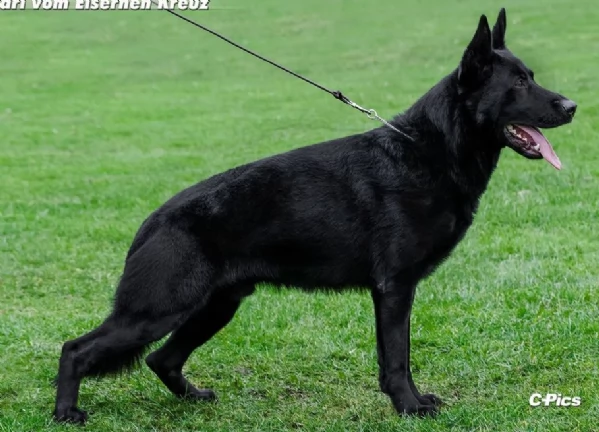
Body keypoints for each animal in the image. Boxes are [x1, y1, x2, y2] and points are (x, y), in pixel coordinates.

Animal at [54, 7, 576, 426]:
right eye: (518, 84)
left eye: (530, 76)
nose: (572, 106)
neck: (429, 150)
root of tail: (152, 221)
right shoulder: (394, 289)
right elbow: (397, 358)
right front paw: (408, 407)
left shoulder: (395, 291)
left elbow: (398, 355)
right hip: (156, 311)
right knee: (76, 349)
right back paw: (65, 414)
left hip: (215, 308)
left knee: (161, 360)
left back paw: (192, 398)